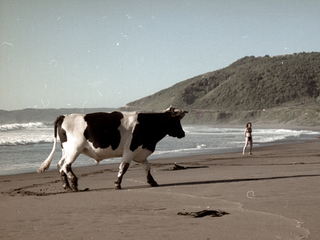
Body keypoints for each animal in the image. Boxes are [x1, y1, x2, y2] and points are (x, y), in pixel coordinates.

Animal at [38, 107, 188, 191]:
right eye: (176, 121)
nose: (183, 133)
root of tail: (63, 116)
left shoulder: (141, 152)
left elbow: (147, 168)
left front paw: (152, 182)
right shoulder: (130, 150)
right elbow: (124, 167)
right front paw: (117, 184)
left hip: (67, 150)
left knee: (60, 165)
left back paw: (67, 186)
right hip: (74, 149)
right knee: (66, 165)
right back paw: (74, 184)